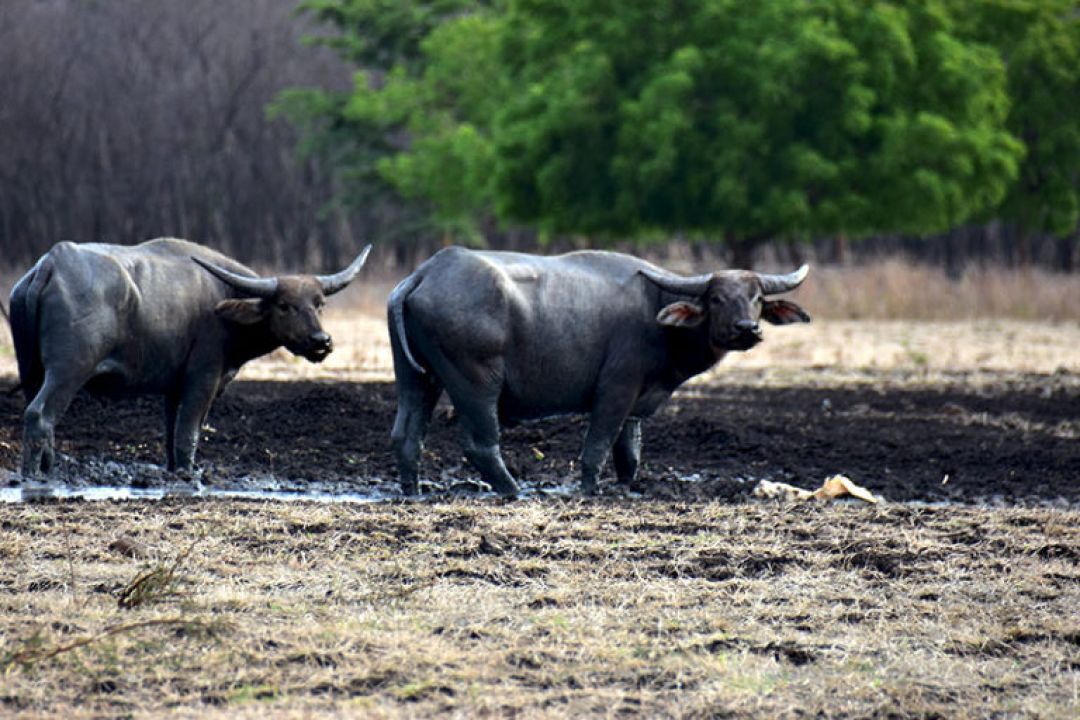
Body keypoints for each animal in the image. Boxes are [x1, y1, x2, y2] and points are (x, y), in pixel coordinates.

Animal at [8, 236, 373, 481]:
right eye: (284, 305)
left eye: (319, 304)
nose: (321, 342)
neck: (223, 303)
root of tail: (51, 263)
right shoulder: (203, 379)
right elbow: (189, 432)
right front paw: (189, 474)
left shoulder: (174, 387)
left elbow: (171, 433)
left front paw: (174, 471)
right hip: (67, 371)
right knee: (39, 415)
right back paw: (35, 477)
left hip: (33, 371)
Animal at [388, 248, 812, 496]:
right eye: (717, 298)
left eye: (757, 298)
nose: (747, 328)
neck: (657, 315)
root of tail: (426, 271)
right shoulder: (616, 389)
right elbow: (598, 445)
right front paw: (590, 489)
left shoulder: (638, 400)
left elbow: (629, 451)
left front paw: (628, 486)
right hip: (475, 383)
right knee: (480, 444)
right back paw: (513, 490)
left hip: (417, 378)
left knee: (405, 435)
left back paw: (413, 490)